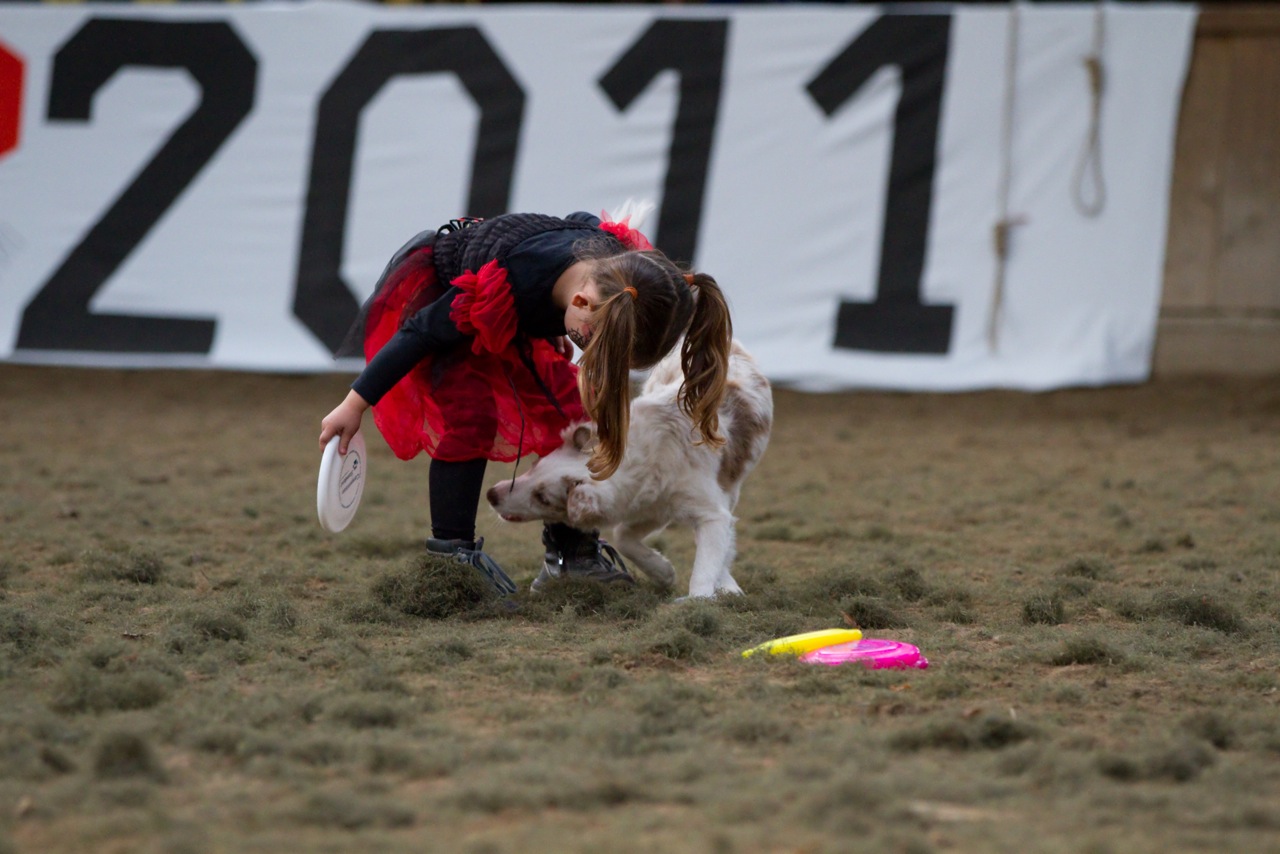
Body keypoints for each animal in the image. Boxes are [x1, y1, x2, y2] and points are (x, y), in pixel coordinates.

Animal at [486, 339, 773, 598]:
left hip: (731, 487)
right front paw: (663, 571)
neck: (644, 458)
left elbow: (706, 563)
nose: (491, 494)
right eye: (535, 465)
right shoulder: (651, 506)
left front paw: (697, 601)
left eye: (543, 498)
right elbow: (624, 537)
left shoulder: (709, 512)